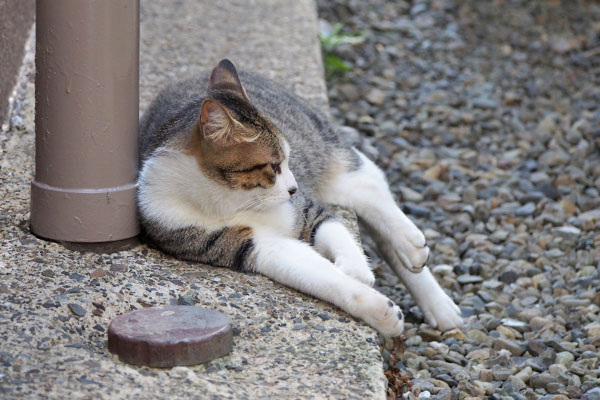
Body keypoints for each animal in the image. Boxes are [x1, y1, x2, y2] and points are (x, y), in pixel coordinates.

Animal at [137, 58, 464, 334]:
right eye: (273, 165)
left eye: (287, 160)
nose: (293, 187)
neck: (229, 201)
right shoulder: (248, 245)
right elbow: (321, 276)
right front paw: (379, 311)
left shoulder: (304, 208)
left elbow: (335, 229)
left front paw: (358, 268)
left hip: (325, 150)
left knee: (369, 183)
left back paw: (413, 250)